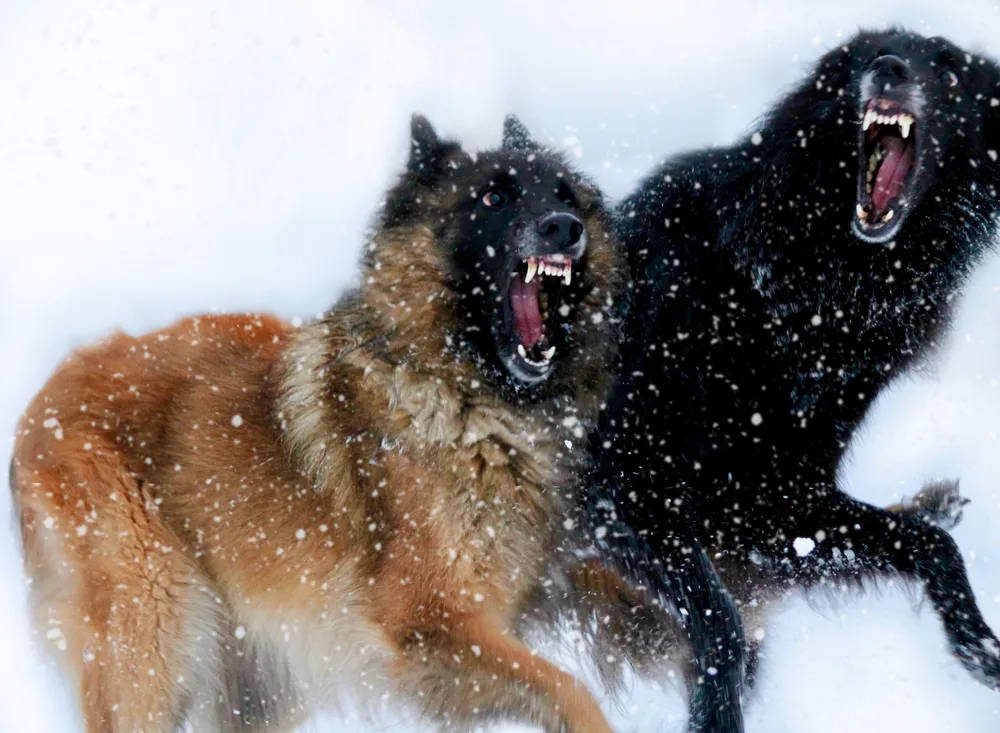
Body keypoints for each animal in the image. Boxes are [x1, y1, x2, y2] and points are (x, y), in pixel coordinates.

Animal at [584, 28, 1000, 732]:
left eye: (948, 71)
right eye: (870, 56)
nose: (890, 70)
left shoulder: (773, 504)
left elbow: (928, 544)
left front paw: (978, 641)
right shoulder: (622, 476)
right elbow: (718, 619)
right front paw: (718, 711)